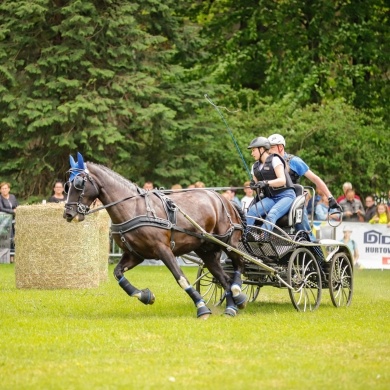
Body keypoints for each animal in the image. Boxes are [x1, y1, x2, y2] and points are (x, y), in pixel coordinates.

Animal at [63, 152, 247, 316]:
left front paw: (201, 307)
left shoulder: (163, 249)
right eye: (67, 185)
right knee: (224, 279)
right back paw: (231, 307)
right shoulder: (135, 254)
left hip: (229, 243)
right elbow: (117, 273)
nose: (68, 214)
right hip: (207, 251)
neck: (133, 208)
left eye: (79, 183)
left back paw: (239, 294)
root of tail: (224, 199)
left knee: (239, 265)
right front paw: (145, 296)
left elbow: (180, 278)